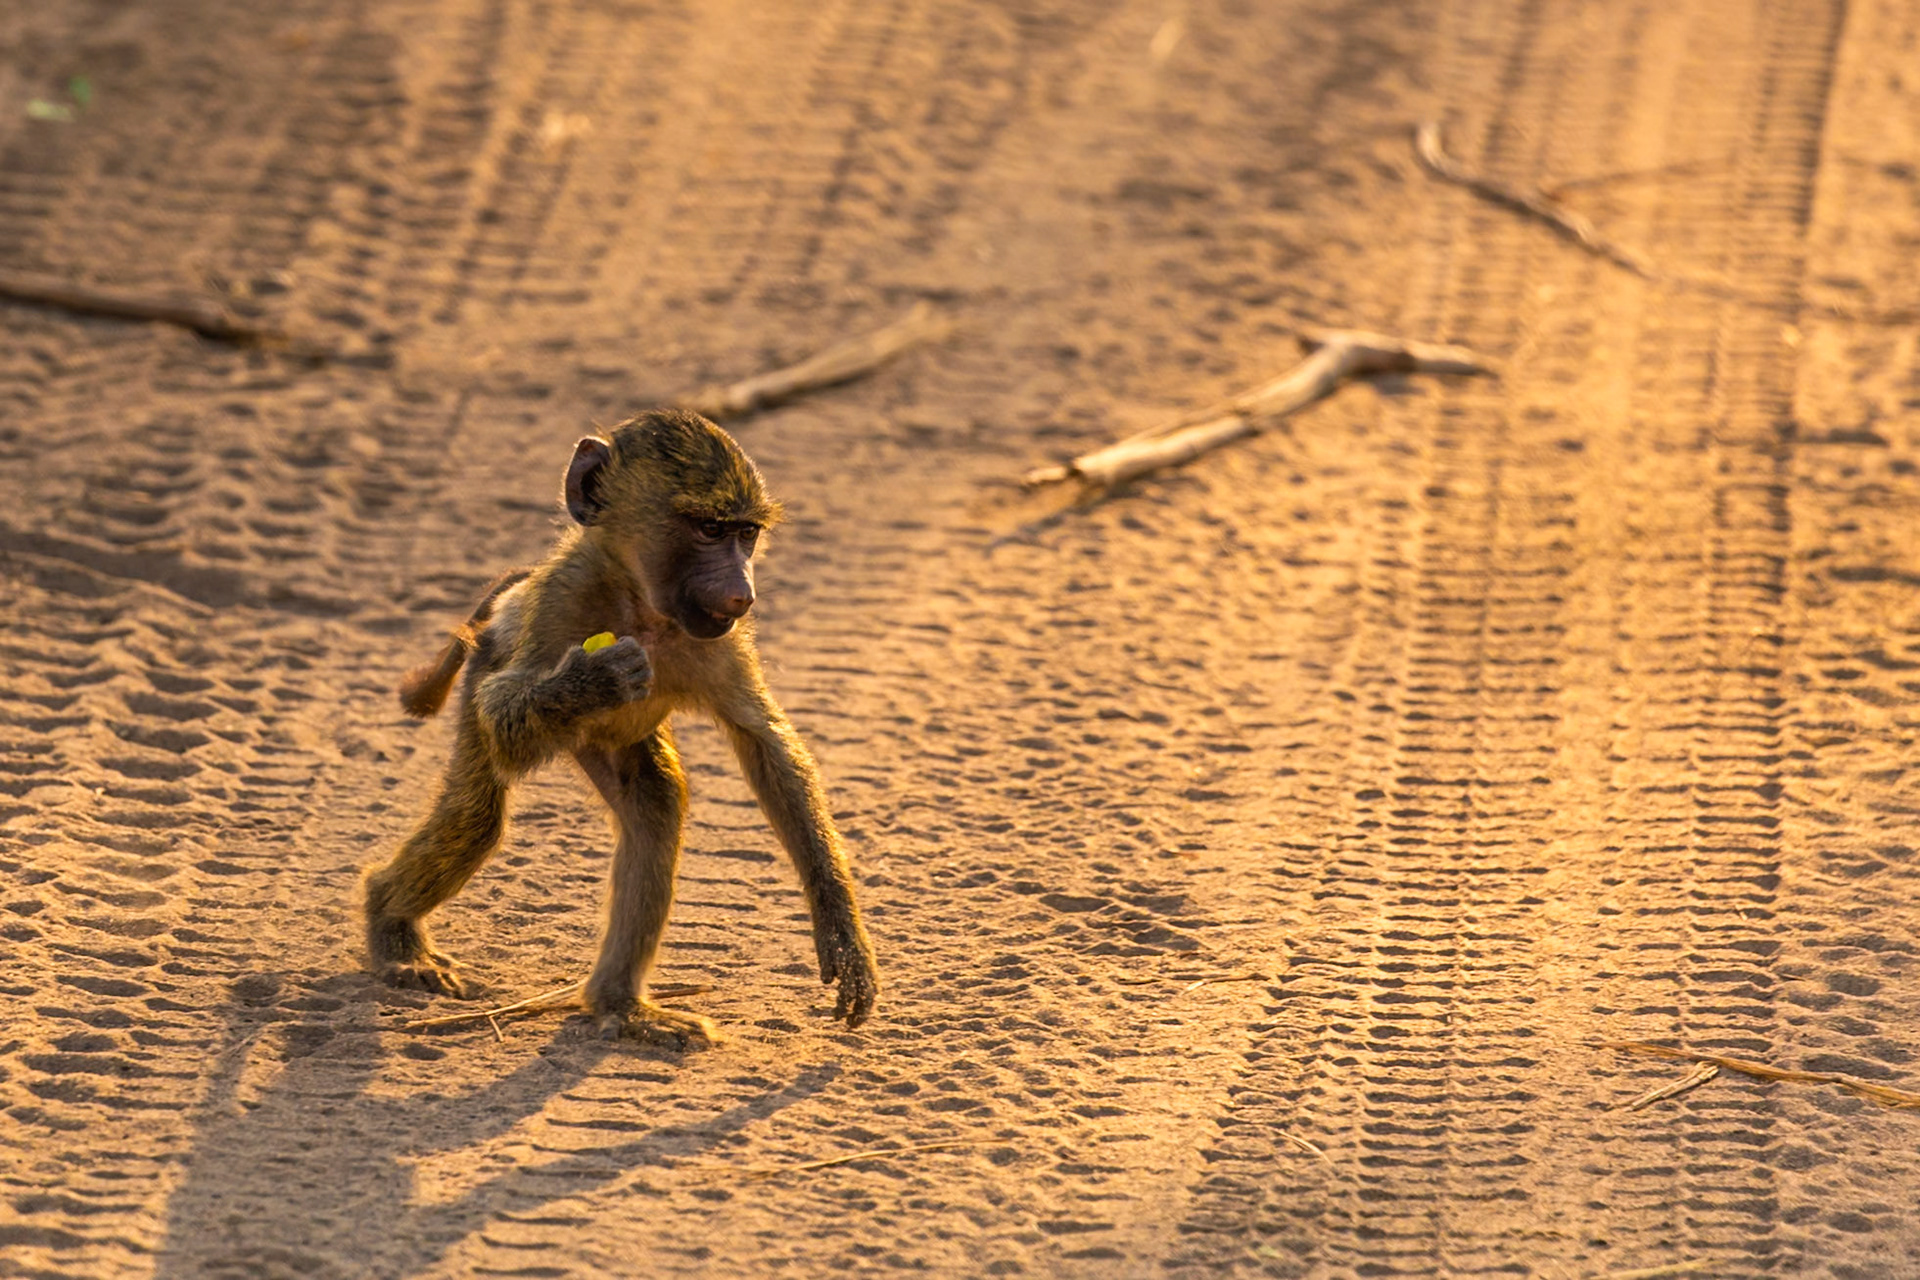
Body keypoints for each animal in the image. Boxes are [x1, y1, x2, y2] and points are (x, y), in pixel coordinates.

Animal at [361, 409, 879, 1045]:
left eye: (746, 534)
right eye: (709, 529)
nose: (744, 593)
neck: (640, 602)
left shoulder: (721, 640)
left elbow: (765, 742)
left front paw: (840, 930)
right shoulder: (562, 600)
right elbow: (502, 718)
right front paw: (593, 680)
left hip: (612, 740)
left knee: (655, 806)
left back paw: (620, 1006)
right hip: (494, 658)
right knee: (478, 815)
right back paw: (391, 928)